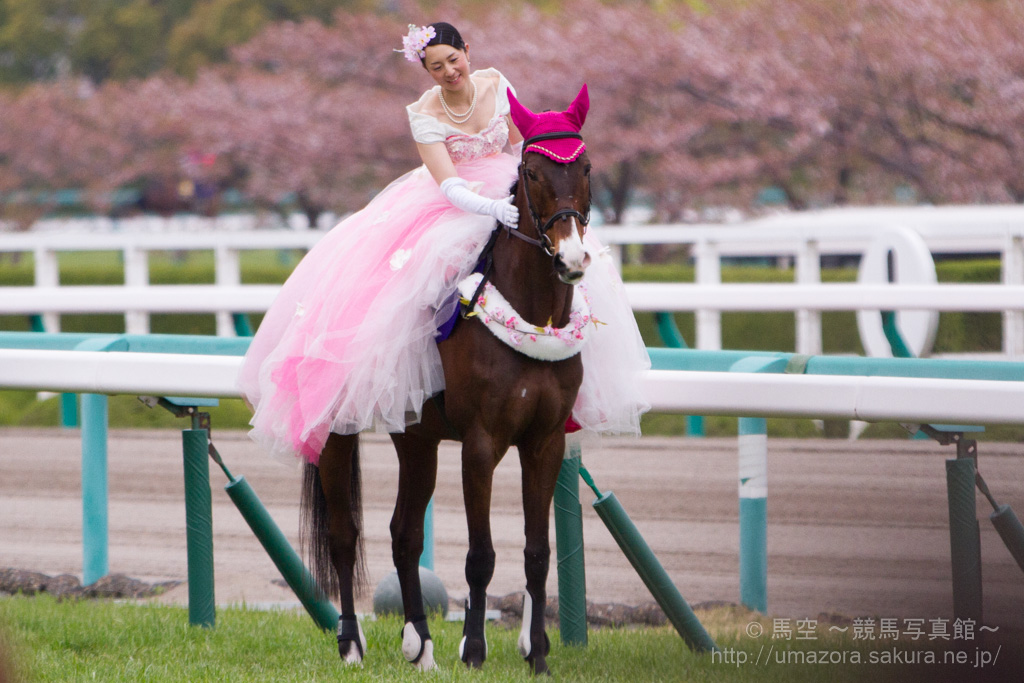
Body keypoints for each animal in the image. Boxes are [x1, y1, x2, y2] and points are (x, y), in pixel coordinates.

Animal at [301, 87, 593, 679]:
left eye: (588, 167)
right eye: (531, 171)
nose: (572, 258)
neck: (531, 315)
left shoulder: (544, 441)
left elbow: (537, 552)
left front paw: (539, 653)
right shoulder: (480, 444)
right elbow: (480, 555)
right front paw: (475, 650)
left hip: (417, 437)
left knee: (404, 534)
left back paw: (421, 644)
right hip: (338, 431)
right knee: (344, 536)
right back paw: (351, 644)